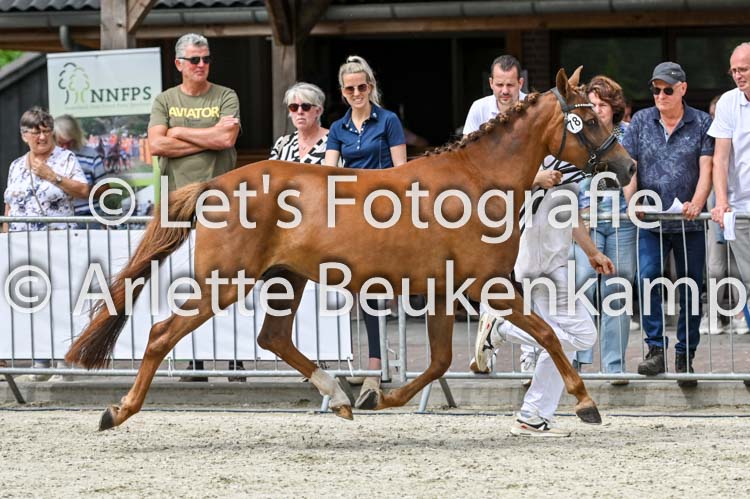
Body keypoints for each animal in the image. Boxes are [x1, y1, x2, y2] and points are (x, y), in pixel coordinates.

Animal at [66, 67, 635, 431]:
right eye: (592, 119)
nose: (627, 167)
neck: (477, 181)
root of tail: (215, 185)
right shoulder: (490, 285)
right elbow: (549, 335)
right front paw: (586, 403)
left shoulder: (444, 292)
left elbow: (439, 362)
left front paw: (381, 396)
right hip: (225, 282)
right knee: (162, 334)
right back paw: (118, 411)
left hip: (285, 279)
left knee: (272, 337)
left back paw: (339, 395)